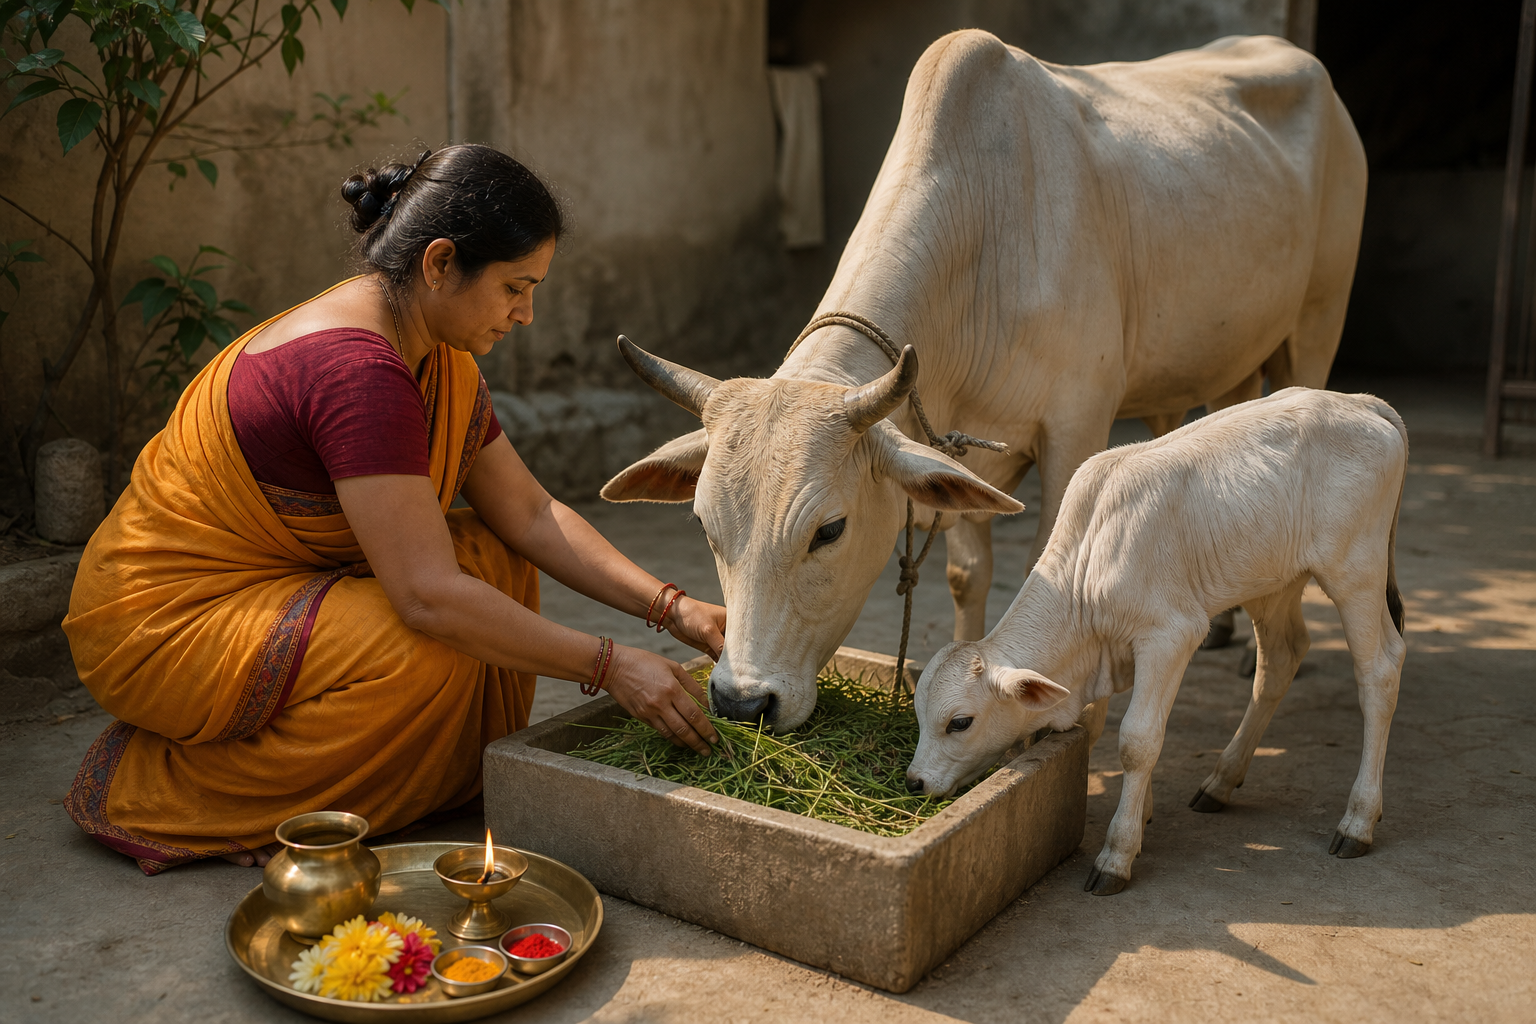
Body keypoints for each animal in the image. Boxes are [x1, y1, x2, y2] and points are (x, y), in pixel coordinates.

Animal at [603, 30, 1368, 731]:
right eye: (703, 523)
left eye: (830, 530)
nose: (742, 701)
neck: (982, 246)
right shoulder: (959, 444)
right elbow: (966, 573)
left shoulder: (1075, 429)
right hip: (1235, 356)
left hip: (1317, 321)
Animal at [904, 388, 1409, 894]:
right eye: (918, 715)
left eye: (960, 722)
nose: (913, 782)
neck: (1087, 572)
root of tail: (1362, 402)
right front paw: (1143, 815)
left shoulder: (1172, 634)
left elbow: (1138, 740)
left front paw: (1117, 853)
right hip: (1272, 584)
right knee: (1280, 661)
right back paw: (1220, 782)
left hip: (1354, 572)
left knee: (1380, 670)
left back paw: (1357, 821)